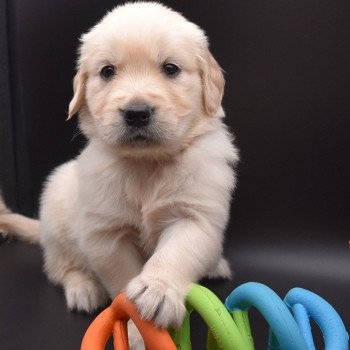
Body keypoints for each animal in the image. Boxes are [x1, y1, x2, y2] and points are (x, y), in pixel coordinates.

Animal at [0, 2, 238, 348]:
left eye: (170, 68)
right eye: (107, 71)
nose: (136, 113)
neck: (147, 164)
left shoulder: (195, 216)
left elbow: (175, 254)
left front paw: (157, 290)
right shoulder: (106, 234)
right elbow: (123, 279)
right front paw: (137, 330)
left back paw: (215, 264)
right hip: (57, 216)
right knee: (60, 268)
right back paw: (82, 289)